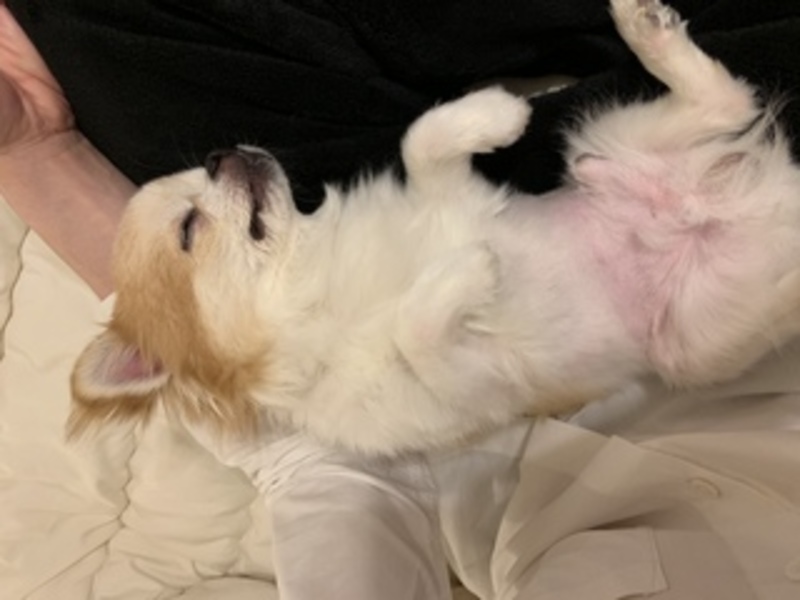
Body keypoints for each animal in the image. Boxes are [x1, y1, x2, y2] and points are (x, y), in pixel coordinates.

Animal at [70, 0, 800, 455]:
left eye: (199, 170)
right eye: (189, 228)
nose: (223, 153)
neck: (319, 274)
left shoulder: (459, 195)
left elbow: (420, 138)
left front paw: (500, 110)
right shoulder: (472, 384)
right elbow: (415, 328)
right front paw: (471, 270)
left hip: (603, 142)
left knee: (728, 100)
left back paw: (647, 31)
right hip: (699, 333)